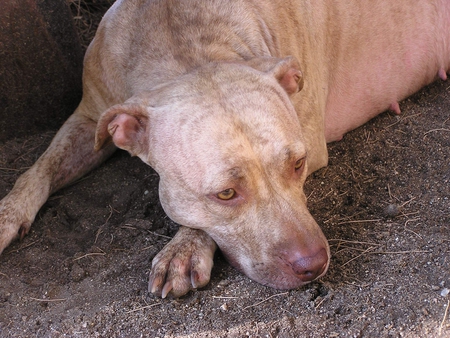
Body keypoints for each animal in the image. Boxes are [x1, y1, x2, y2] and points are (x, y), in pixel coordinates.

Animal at [0, 0, 450, 298]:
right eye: (226, 194)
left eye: (299, 164)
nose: (313, 264)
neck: (186, 45)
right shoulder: (90, 117)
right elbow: (38, 168)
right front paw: (7, 213)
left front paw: (185, 246)